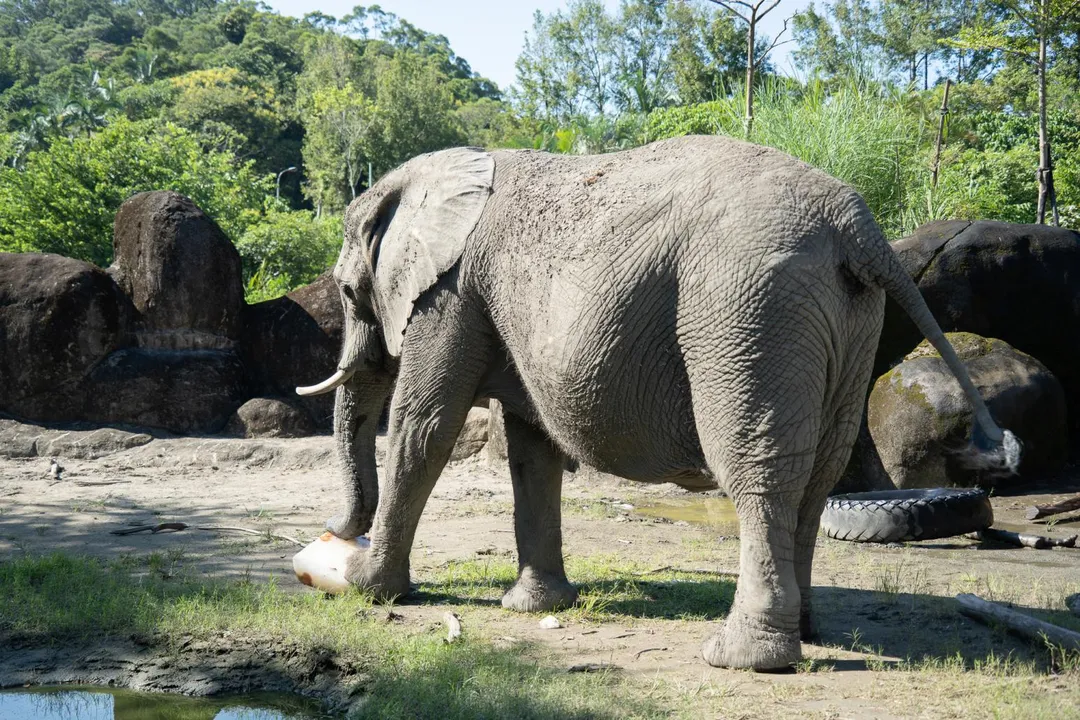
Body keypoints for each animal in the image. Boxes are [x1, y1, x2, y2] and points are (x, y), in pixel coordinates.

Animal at [297, 136, 1020, 671]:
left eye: (349, 292)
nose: (335, 533)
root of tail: (855, 223)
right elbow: (531, 446)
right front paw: (532, 607)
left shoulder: (450, 294)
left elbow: (425, 427)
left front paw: (363, 586)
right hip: (846, 316)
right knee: (819, 474)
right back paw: (807, 634)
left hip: (745, 305)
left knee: (758, 469)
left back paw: (743, 658)